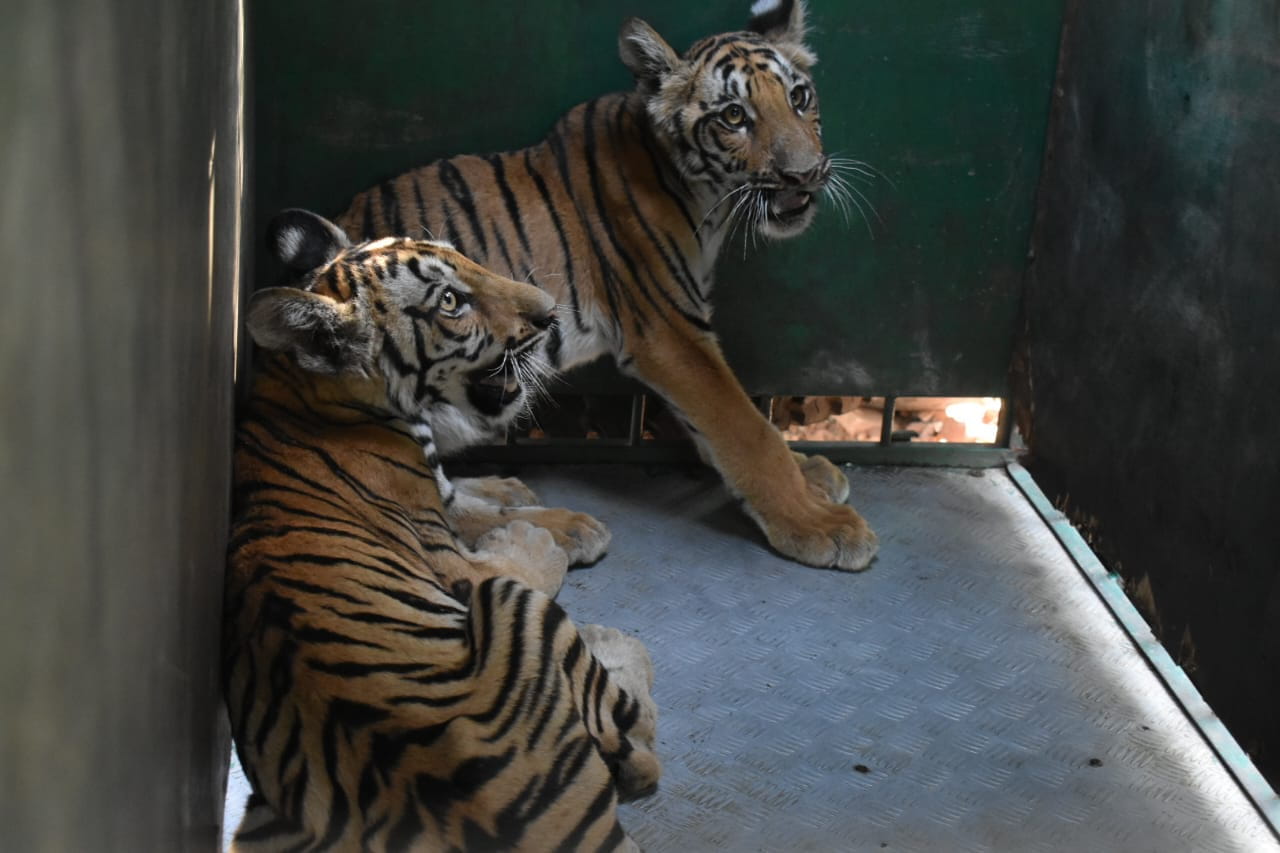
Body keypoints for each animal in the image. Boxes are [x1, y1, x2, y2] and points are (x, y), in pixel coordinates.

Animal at [224, 209, 660, 852]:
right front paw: (550, 535)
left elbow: (477, 499)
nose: (550, 313)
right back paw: (617, 643)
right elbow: (518, 550)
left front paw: (524, 495)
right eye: (451, 302)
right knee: (640, 746)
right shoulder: (453, 560)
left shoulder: (440, 496)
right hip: (511, 608)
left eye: (467, 260)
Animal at [337, 0, 878, 572]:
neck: (704, 195)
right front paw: (819, 524)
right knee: (412, 502)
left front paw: (809, 474)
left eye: (799, 97)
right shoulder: (670, 332)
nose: (805, 175)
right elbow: (745, 428)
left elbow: (733, 426)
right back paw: (559, 528)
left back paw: (506, 488)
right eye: (734, 116)